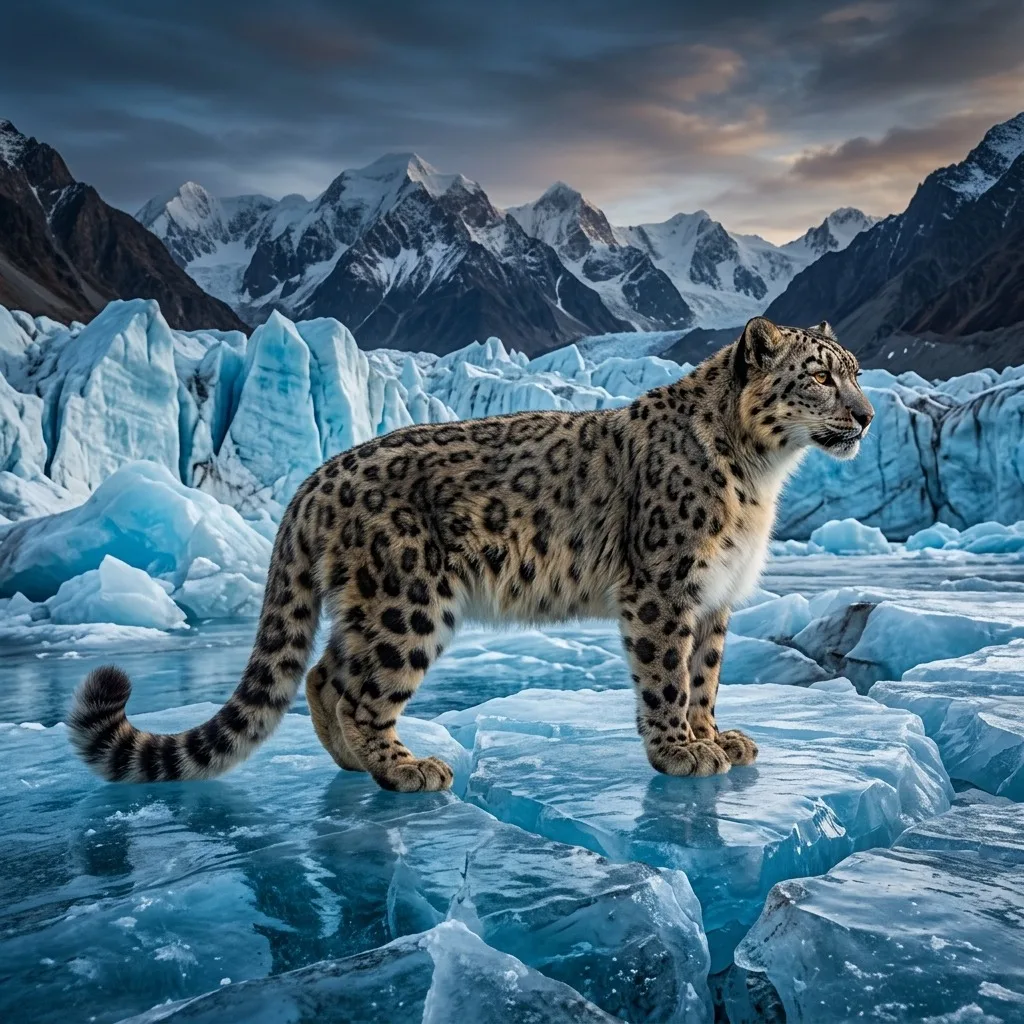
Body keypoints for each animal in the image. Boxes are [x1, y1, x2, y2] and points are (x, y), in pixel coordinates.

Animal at [69, 316, 874, 792]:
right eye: (820, 374)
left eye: (857, 369)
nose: (867, 415)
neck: (761, 476)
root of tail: (316, 477)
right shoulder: (664, 590)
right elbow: (667, 680)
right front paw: (679, 751)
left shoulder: (714, 600)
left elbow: (704, 678)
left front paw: (716, 738)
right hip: (408, 603)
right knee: (358, 687)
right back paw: (406, 768)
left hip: (373, 606)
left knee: (324, 673)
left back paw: (353, 762)